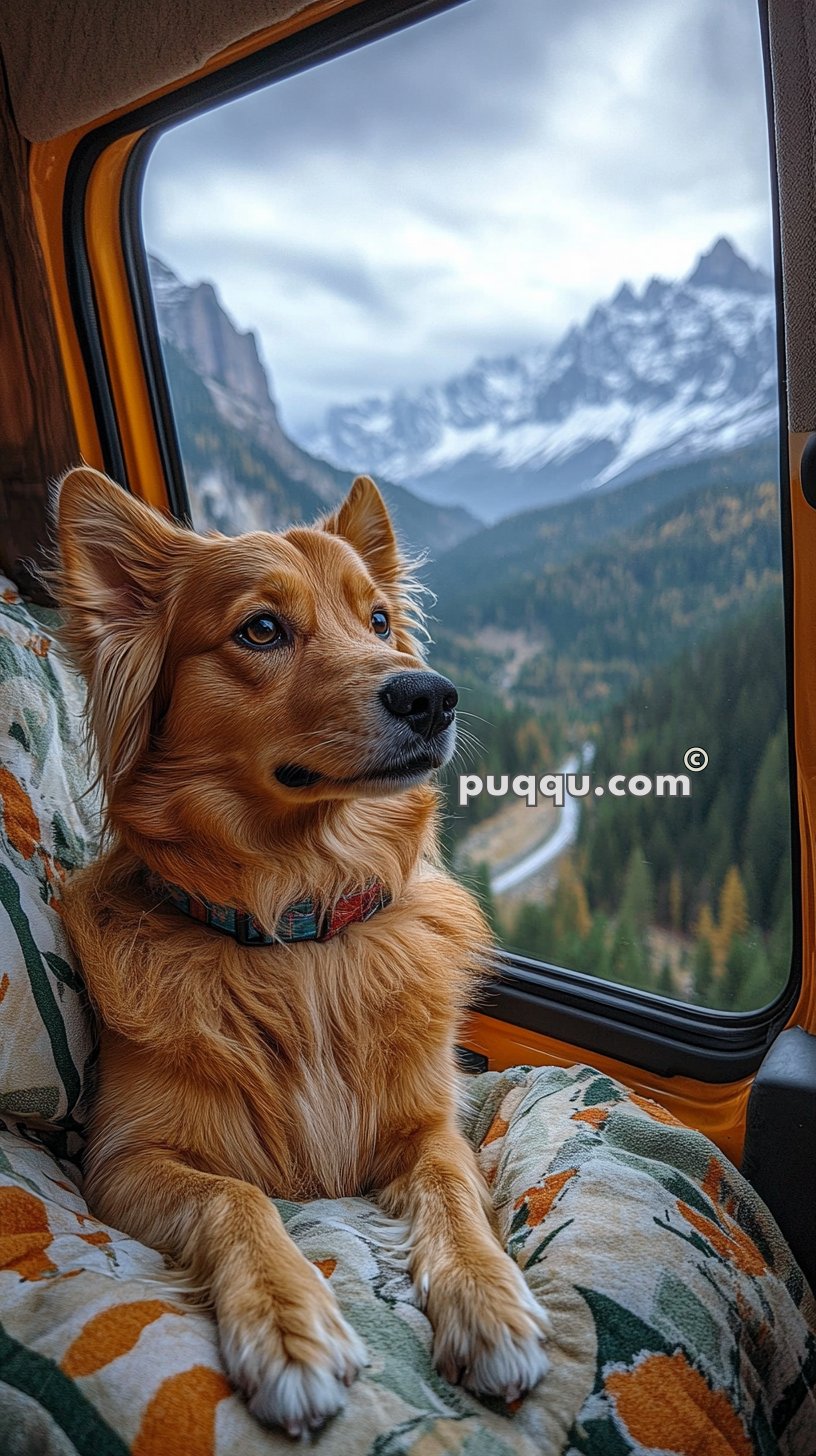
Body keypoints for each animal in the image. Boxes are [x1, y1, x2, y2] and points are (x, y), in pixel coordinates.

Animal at [54, 463, 550, 1432]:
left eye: (380, 621)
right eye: (262, 629)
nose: (432, 695)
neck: (299, 928)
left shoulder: (431, 1126)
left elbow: (452, 1195)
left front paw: (489, 1298)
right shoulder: (120, 1162)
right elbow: (235, 1195)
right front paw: (287, 1324)